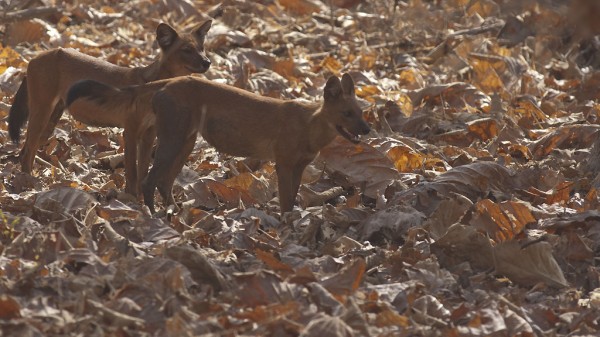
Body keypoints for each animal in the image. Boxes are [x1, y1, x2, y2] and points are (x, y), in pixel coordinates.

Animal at [68, 73, 370, 213]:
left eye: (361, 111)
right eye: (347, 113)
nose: (368, 129)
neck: (309, 127)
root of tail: (167, 81)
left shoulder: (299, 167)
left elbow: (293, 199)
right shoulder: (283, 163)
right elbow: (285, 202)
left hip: (186, 142)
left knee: (164, 183)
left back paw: (176, 212)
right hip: (173, 140)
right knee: (148, 181)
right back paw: (154, 216)